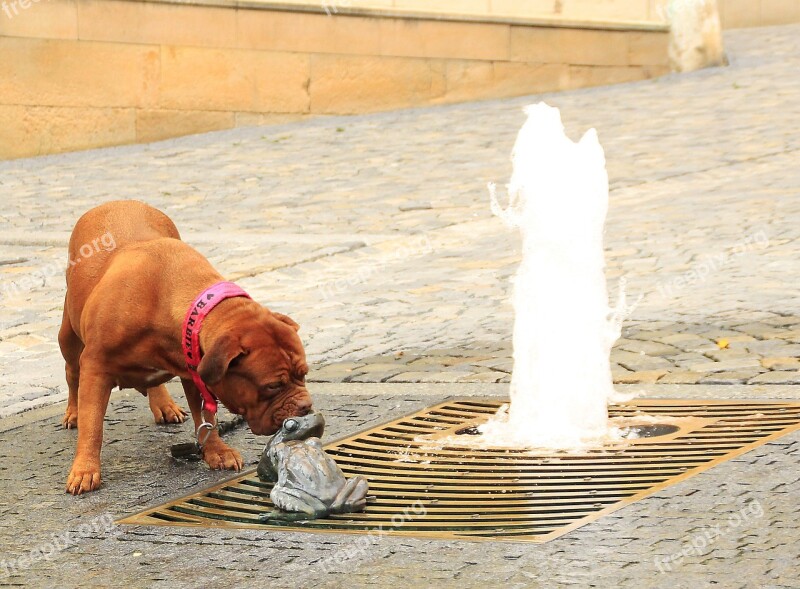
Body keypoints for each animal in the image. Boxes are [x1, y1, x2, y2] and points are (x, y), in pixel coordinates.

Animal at [56, 200, 310, 494]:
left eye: (304, 374)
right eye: (272, 386)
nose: (306, 405)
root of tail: (115, 201)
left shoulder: (194, 368)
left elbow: (206, 419)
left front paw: (216, 451)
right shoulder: (96, 366)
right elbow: (93, 424)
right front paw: (85, 469)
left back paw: (164, 404)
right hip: (69, 337)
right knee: (72, 373)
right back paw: (73, 412)